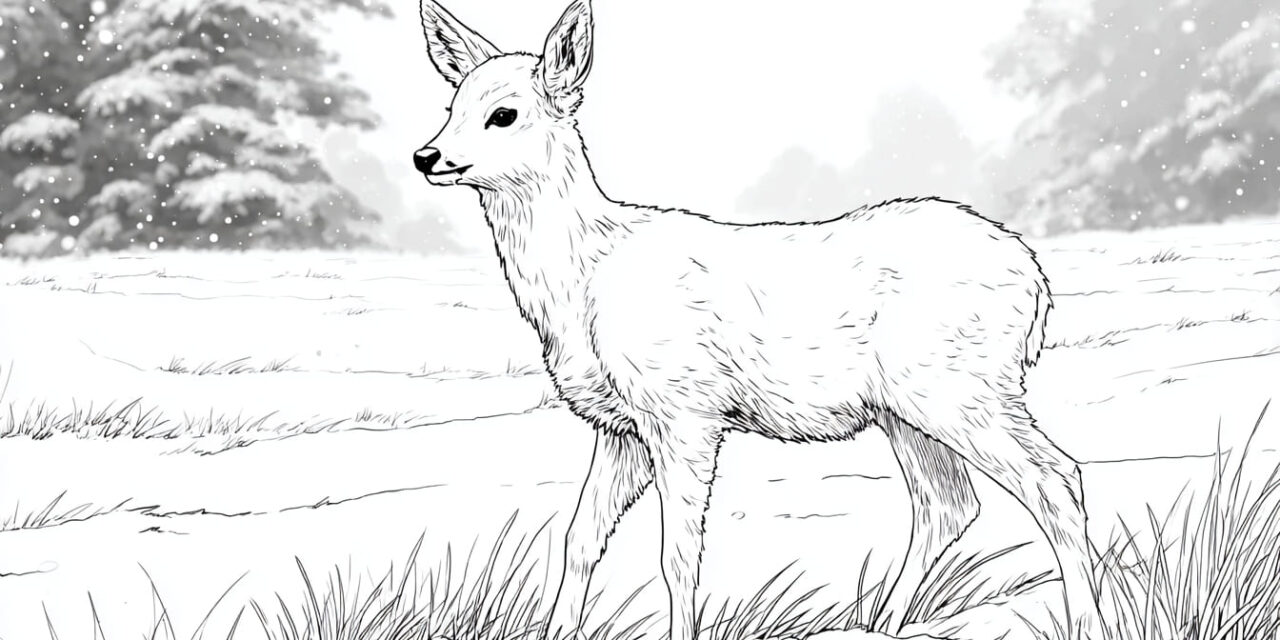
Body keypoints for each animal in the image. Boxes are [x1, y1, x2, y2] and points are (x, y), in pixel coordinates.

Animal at [412, 1, 1106, 639]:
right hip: (908, 407)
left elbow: (677, 556)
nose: (427, 155)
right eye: (451, 104)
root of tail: (1037, 281)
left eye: (504, 114)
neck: (585, 280)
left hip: (962, 385)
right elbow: (580, 538)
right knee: (950, 503)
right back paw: (879, 622)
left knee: (1053, 479)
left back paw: (1085, 622)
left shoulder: (684, 410)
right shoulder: (619, 427)